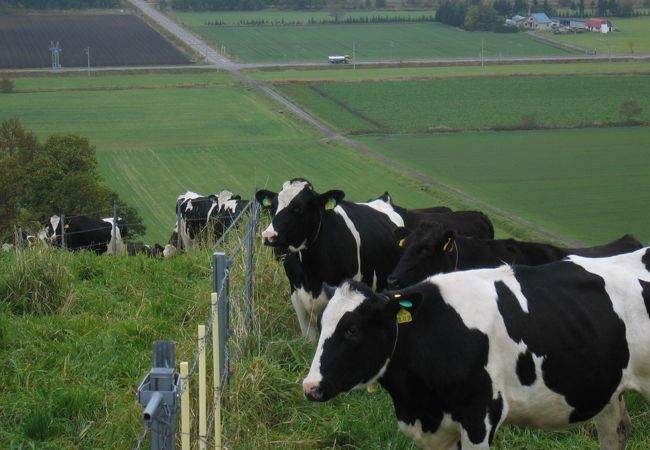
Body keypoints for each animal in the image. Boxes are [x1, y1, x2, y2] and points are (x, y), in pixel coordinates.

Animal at [302, 248, 648, 450]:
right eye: (321, 324)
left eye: (352, 330)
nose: (310, 387)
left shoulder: (480, 418)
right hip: (608, 390)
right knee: (616, 433)